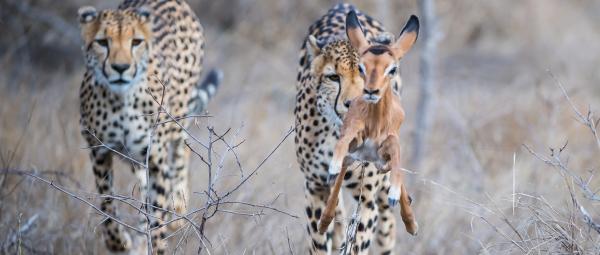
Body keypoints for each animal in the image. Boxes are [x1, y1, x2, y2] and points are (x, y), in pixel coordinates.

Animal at [77, 0, 220, 252]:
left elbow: (158, 217)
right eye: (102, 42)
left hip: (177, 119)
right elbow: (107, 202)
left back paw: (178, 206)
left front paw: (157, 242)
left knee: (181, 152)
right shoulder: (98, 151)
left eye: (136, 42)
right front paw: (120, 242)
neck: (121, 101)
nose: (121, 68)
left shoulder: (155, 160)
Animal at [296, 2, 412, 254]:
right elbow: (319, 239)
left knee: (387, 224)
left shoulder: (366, 198)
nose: (354, 103)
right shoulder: (315, 187)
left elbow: (357, 242)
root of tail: (344, 5)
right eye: (333, 77)